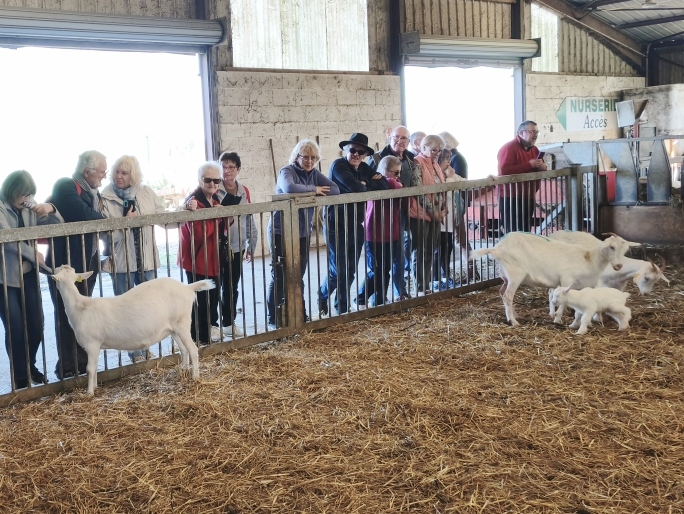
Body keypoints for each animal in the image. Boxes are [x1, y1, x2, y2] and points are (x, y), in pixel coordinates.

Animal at [51, 265, 214, 394]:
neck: (81, 307)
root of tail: (187, 288)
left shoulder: (92, 343)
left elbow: (90, 368)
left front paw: (90, 393)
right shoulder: (95, 346)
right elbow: (95, 367)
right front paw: (95, 387)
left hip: (182, 323)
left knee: (193, 349)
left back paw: (195, 376)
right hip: (174, 328)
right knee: (184, 349)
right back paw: (183, 370)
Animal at [469, 232, 627, 327]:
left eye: (624, 250)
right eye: (611, 247)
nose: (619, 266)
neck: (588, 259)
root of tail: (497, 248)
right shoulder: (566, 280)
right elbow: (563, 302)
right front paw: (557, 319)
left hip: (506, 277)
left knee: (502, 293)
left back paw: (514, 315)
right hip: (515, 275)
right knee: (508, 296)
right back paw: (513, 321)